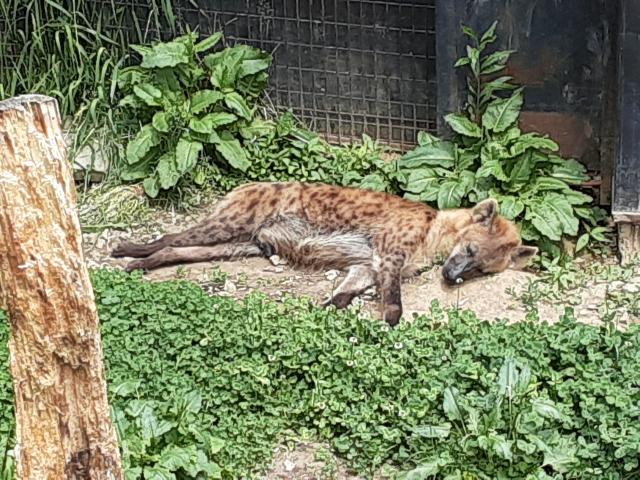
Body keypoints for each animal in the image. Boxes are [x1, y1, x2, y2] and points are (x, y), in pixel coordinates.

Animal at [111, 181, 538, 326]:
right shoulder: (388, 253)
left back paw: (143, 263)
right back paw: (129, 252)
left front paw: (327, 308)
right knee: (171, 236)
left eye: (481, 269)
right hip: (230, 224)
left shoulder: (366, 263)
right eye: (468, 248)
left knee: (181, 249)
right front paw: (390, 322)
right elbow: (394, 301)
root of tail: (246, 186)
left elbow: (347, 291)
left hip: (242, 244)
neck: (433, 234)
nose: (452, 276)